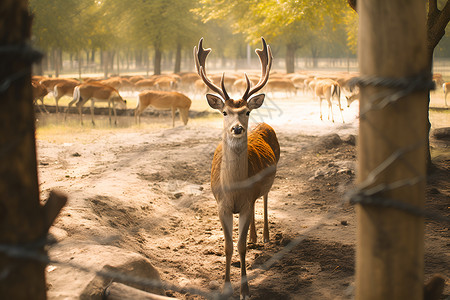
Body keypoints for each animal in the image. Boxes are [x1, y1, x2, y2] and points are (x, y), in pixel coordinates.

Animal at [194, 36, 280, 298]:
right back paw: (254, 237)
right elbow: (228, 246)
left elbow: (240, 247)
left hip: (268, 182)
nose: (237, 128)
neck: (233, 190)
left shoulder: (244, 202)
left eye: (247, 111)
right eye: (224, 112)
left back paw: (264, 237)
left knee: (264, 200)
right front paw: (226, 287)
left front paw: (245, 290)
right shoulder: (221, 205)